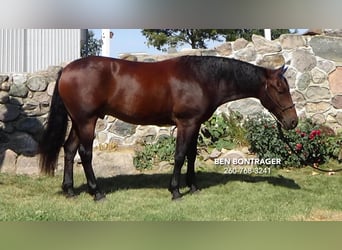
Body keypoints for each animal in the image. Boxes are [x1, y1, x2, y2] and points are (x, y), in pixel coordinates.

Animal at [38, 55, 298, 200]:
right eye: (280, 89)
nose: (293, 122)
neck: (201, 78)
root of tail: (66, 69)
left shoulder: (195, 123)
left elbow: (192, 155)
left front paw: (193, 187)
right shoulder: (186, 123)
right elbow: (180, 155)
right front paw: (175, 191)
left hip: (78, 121)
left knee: (69, 150)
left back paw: (70, 190)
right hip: (87, 121)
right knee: (85, 153)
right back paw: (97, 193)